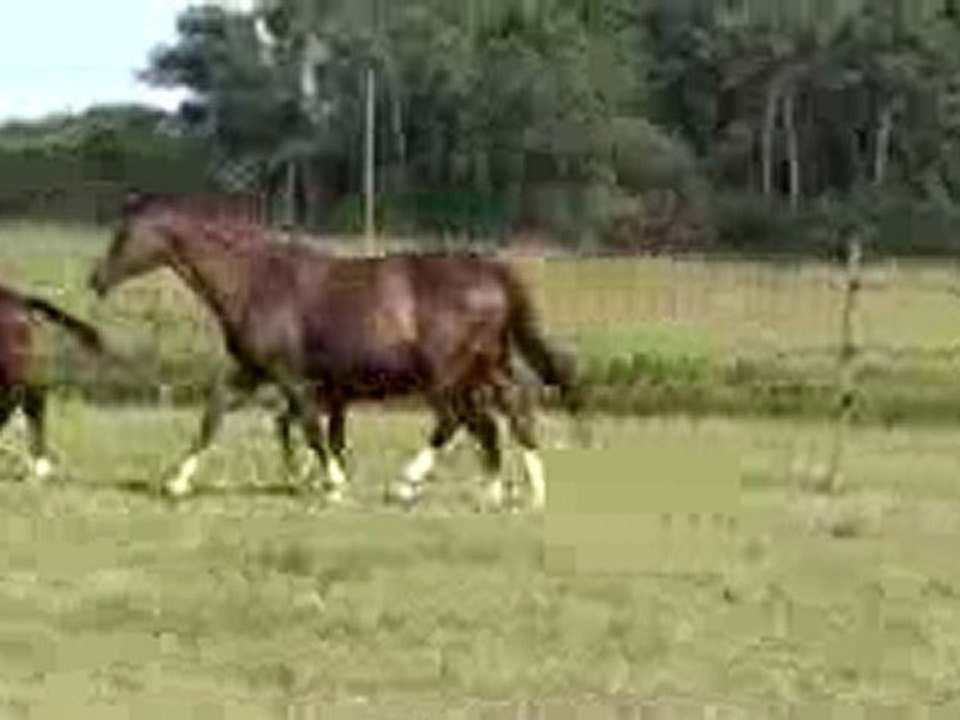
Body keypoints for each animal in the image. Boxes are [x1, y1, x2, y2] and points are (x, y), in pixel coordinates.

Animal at [88, 192, 583, 510]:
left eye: (124, 235)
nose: (96, 280)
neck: (256, 281)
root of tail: (492, 272)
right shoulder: (251, 371)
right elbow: (214, 417)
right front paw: (176, 483)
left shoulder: (288, 374)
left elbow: (309, 426)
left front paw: (332, 484)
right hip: (486, 366)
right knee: (507, 414)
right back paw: (518, 493)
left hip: (446, 374)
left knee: (463, 421)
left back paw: (410, 486)